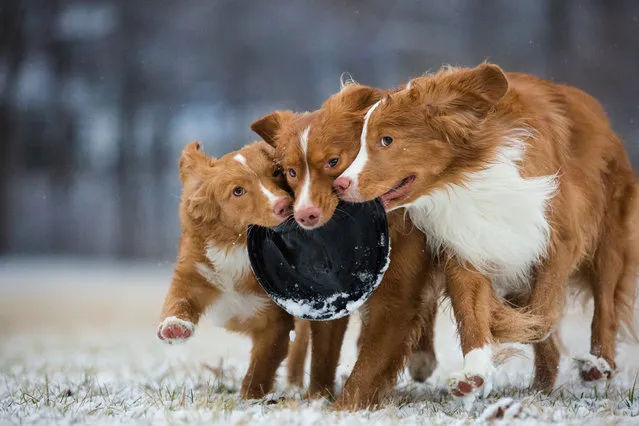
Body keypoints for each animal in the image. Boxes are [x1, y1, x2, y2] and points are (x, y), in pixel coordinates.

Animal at [336, 63, 639, 402]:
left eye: (386, 139)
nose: (340, 184)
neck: (465, 177)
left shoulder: (559, 241)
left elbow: (541, 313)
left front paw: (503, 322)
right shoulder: (469, 244)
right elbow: (472, 313)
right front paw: (474, 373)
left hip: (609, 240)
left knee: (605, 305)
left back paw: (599, 363)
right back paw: (540, 386)